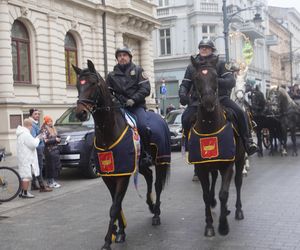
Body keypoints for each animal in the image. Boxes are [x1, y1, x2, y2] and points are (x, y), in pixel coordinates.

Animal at [73, 60, 171, 250]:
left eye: (93, 83)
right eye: (77, 85)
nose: (80, 113)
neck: (108, 133)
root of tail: (162, 118)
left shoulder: (123, 175)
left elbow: (114, 207)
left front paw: (107, 241)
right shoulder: (109, 175)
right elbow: (116, 206)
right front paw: (120, 232)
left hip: (161, 160)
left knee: (157, 184)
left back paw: (156, 213)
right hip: (140, 165)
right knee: (149, 177)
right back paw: (150, 205)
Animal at [190, 55, 246, 237]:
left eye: (215, 77)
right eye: (196, 78)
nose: (208, 101)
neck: (210, 126)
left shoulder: (228, 165)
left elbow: (224, 194)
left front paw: (223, 226)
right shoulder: (201, 168)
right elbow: (206, 195)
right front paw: (209, 225)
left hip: (240, 160)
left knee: (238, 183)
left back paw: (237, 211)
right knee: (214, 180)